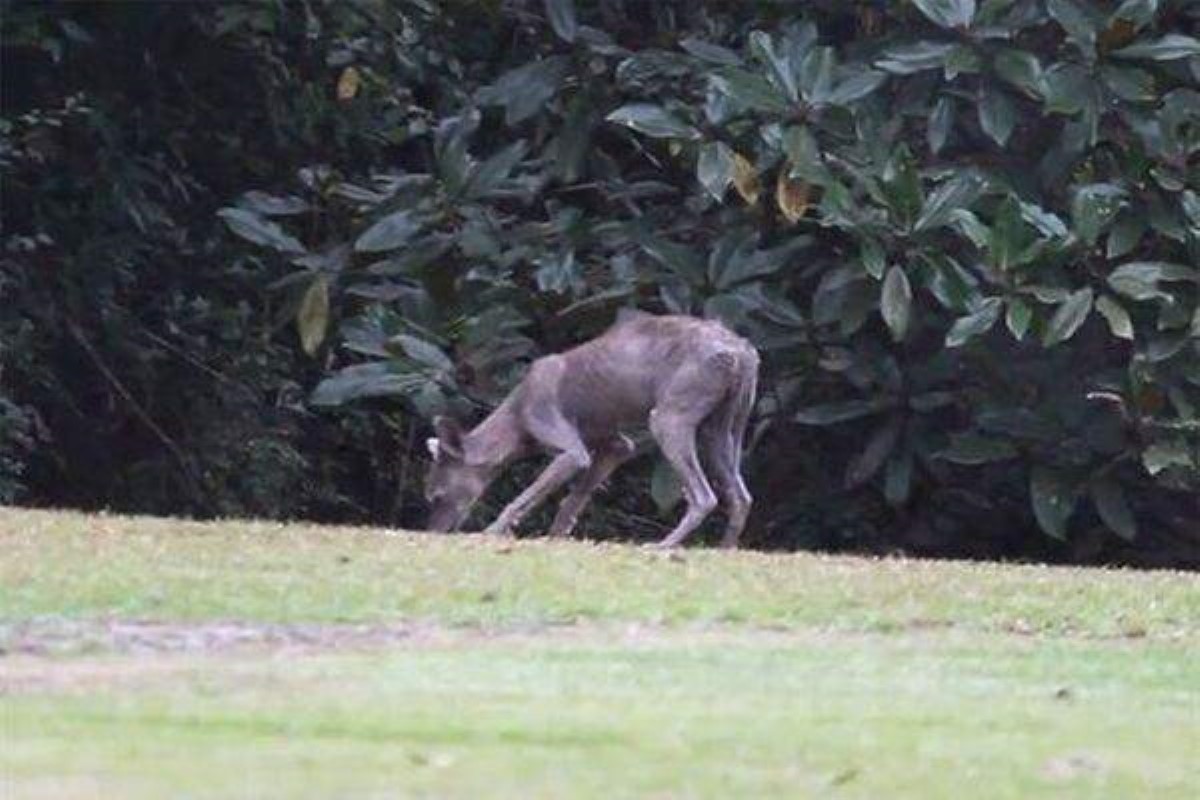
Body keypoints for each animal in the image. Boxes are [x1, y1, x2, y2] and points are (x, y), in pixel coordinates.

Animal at [424, 309, 758, 546]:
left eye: (437, 496)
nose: (434, 533)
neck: (516, 418)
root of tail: (741, 350)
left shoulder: (571, 449)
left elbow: (524, 498)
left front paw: (491, 531)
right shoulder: (615, 446)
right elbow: (574, 499)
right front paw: (555, 538)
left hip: (668, 419)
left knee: (704, 497)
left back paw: (663, 546)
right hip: (723, 430)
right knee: (741, 497)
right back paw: (724, 550)